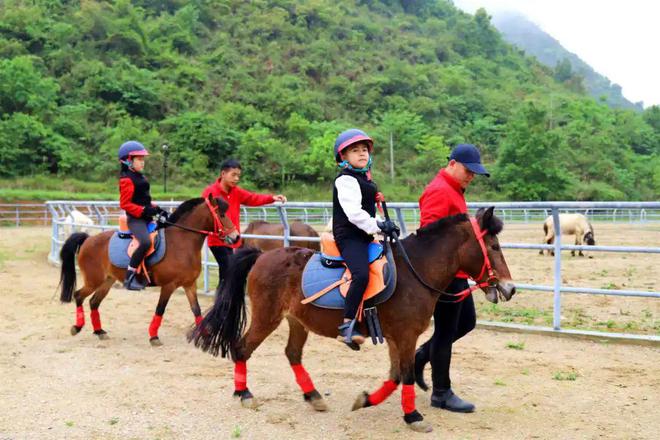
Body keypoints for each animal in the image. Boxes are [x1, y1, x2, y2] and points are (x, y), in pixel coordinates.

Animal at [56, 197, 237, 348]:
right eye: (221, 214)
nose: (236, 237)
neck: (181, 242)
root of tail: (88, 239)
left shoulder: (189, 285)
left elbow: (196, 310)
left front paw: (204, 335)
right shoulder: (169, 286)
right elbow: (160, 309)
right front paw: (153, 336)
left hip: (107, 281)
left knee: (94, 302)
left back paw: (99, 331)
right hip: (94, 280)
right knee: (79, 296)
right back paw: (77, 327)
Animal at [191, 207, 516, 434]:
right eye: (494, 247)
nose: (510, 288)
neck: (414, 272)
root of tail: (261, 255)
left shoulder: (397, 337)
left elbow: (395, 376)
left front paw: (366, 400)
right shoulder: (406, 335)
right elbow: (406, 375)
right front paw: (413, 417)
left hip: (297, 321)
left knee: (292, 353)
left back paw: (313, 396)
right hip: (266, 316)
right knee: (242, 347)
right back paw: (245, 394)